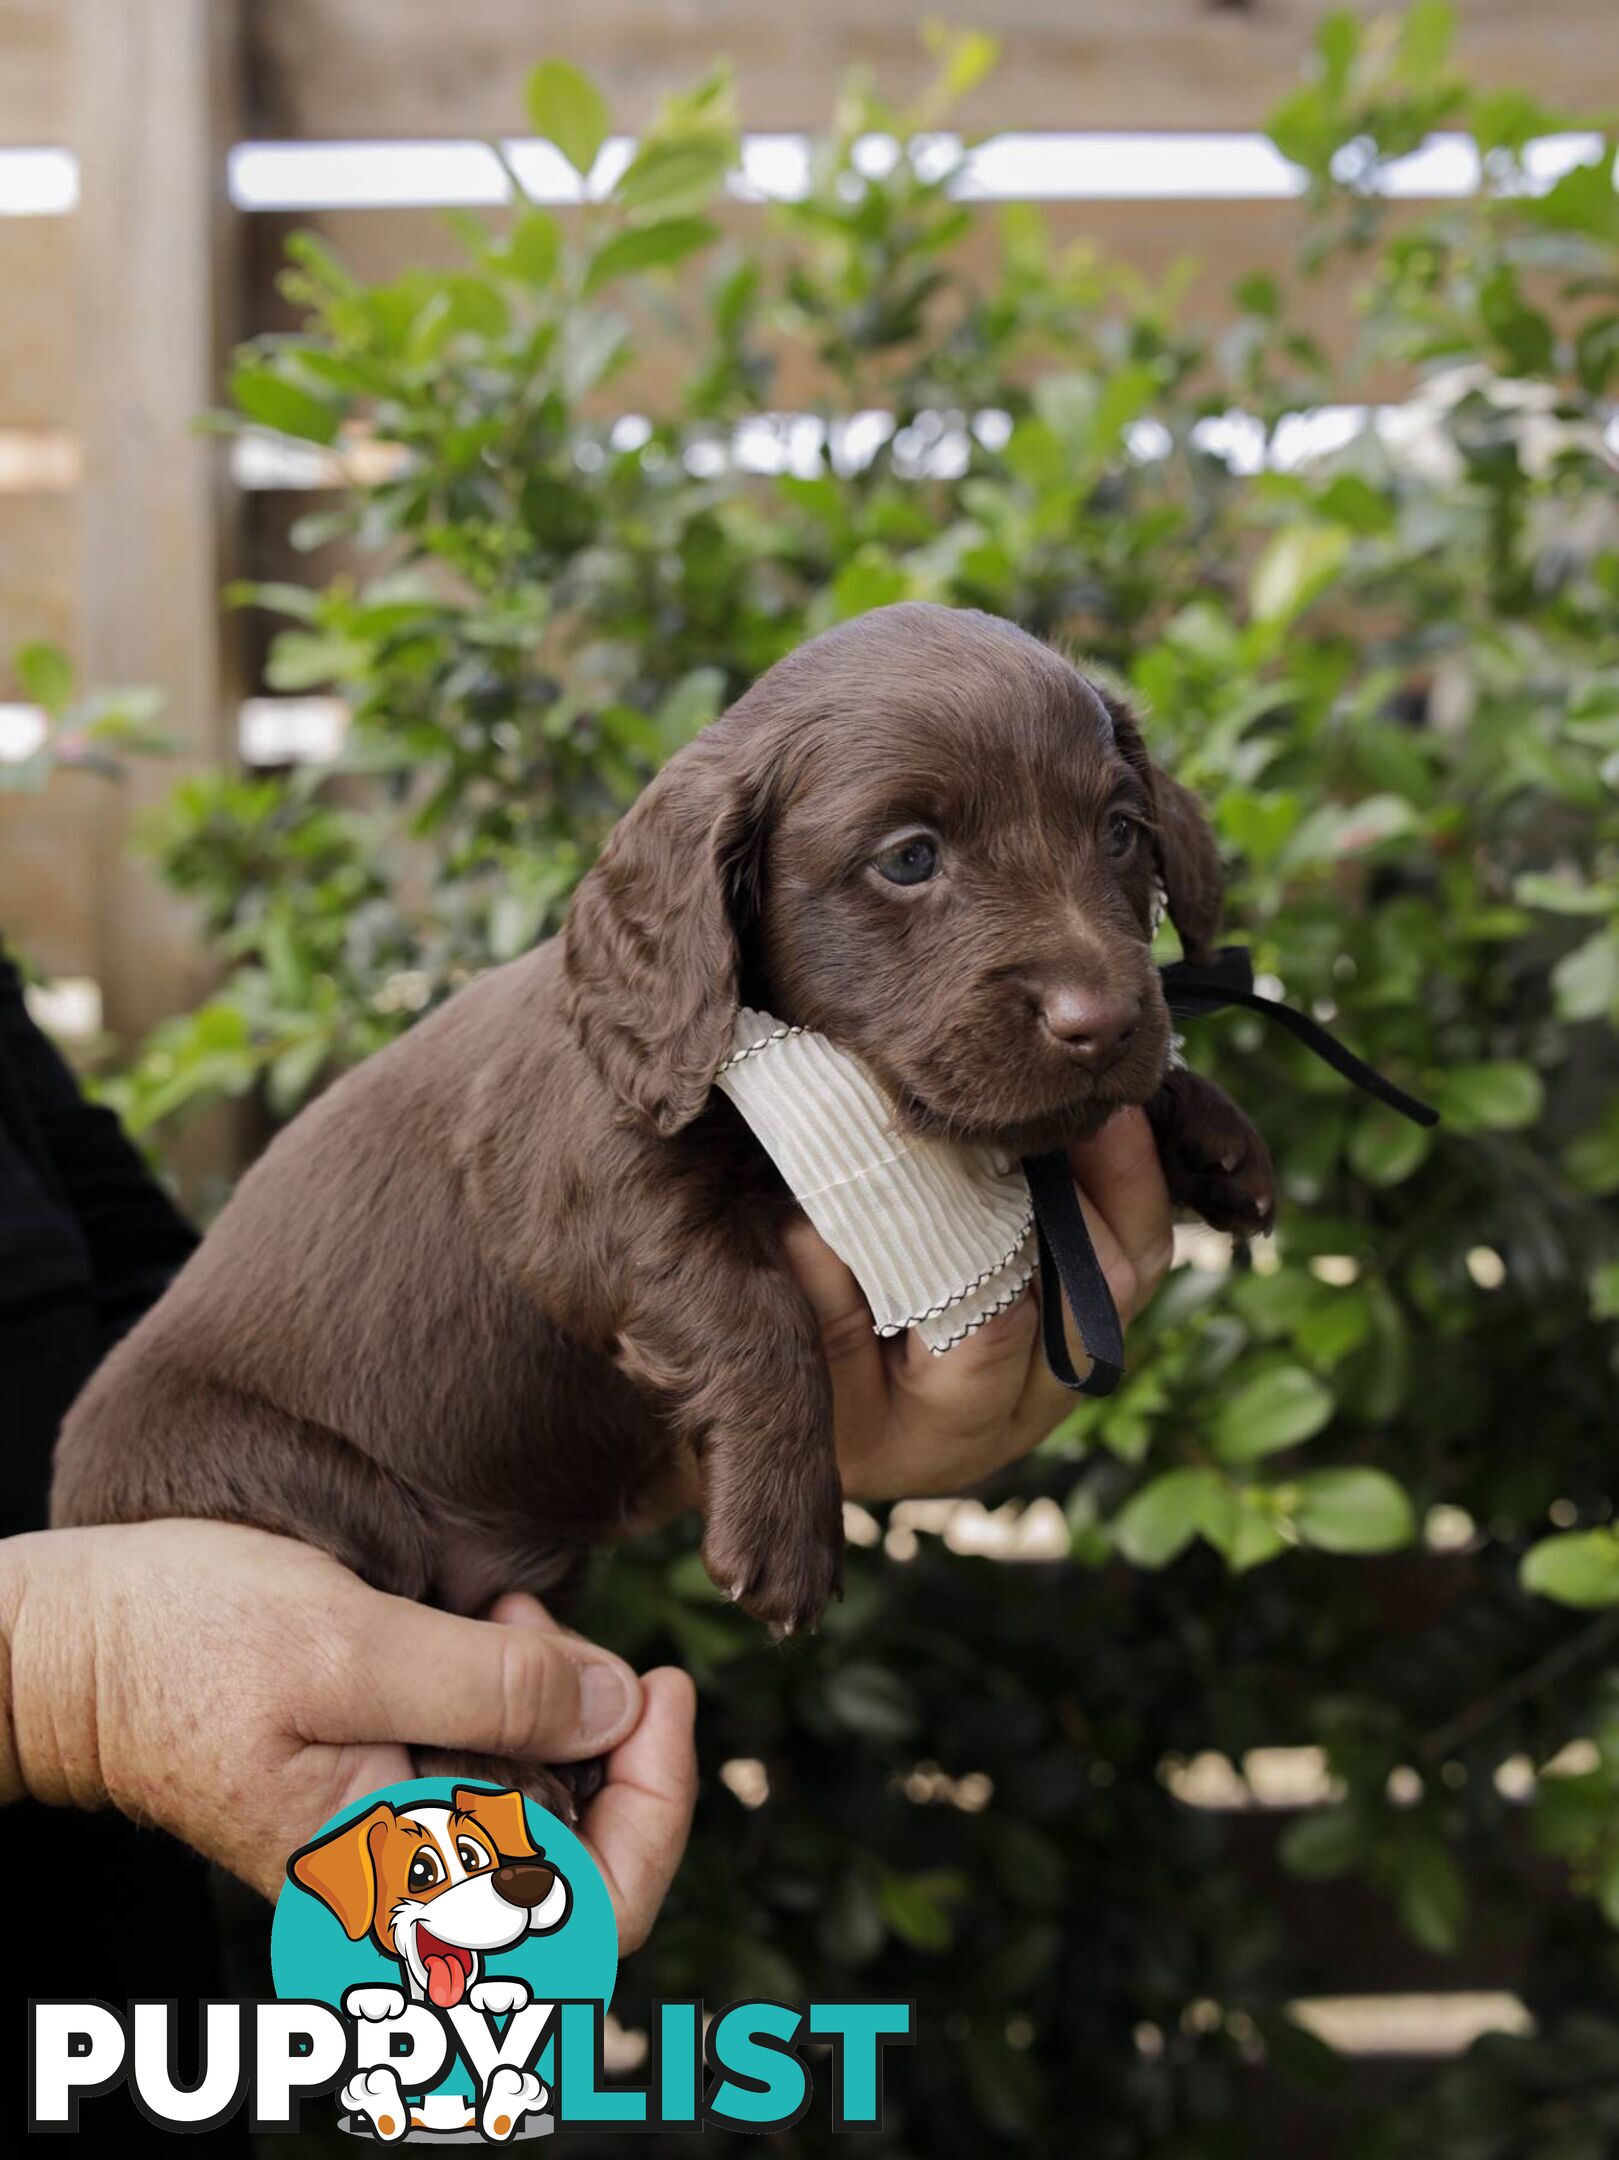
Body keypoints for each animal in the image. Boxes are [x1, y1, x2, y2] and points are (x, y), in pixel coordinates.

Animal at [50, 600, 1277, 1693]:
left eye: (1118, 833)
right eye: (910, 859)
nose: (1100, 1022)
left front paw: (1208, 1128)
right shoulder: (577, 1197)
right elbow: (749, 1310)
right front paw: (785, 1532)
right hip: (293, 1485)